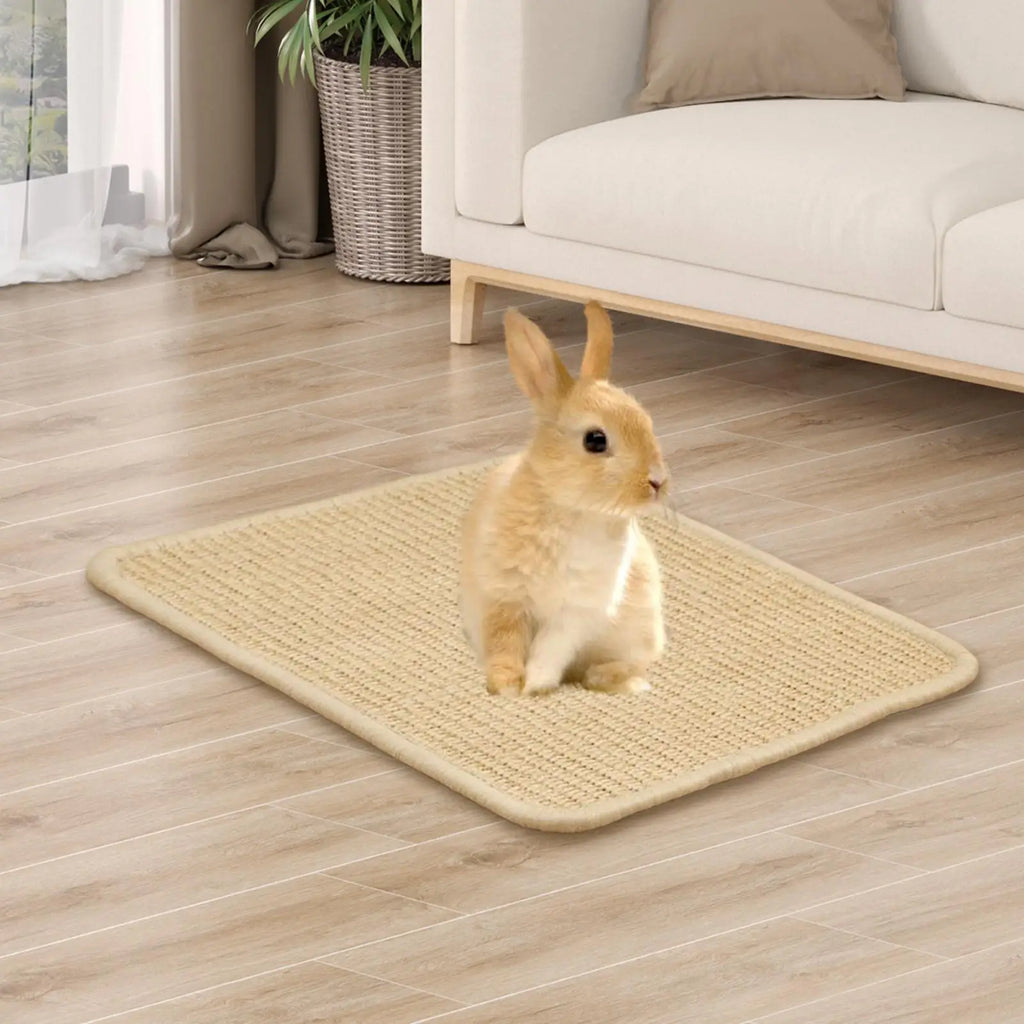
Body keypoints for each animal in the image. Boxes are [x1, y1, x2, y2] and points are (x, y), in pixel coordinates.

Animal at [460, 301, 669, 697]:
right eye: (595, 440)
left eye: (647, 422)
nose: (657, 482)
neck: (570, 510)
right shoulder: (505, 597)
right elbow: (505, 644)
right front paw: (507, 687)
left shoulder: (576, 612)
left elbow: (550, 649)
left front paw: (534, 686)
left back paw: (612, 680)